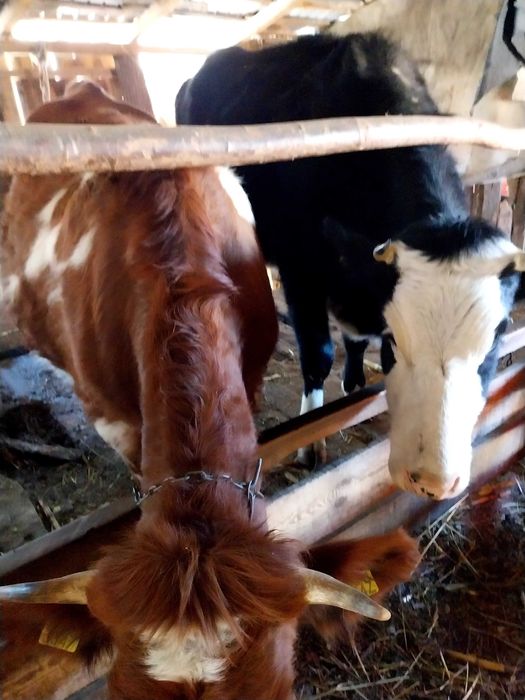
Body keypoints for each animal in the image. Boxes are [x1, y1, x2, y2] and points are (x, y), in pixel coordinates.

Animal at [175, 32, 525, 500]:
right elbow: (318, 354)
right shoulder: (302, 269)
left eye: (496, 339)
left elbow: (355, 341)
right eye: (395, 341)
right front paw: (311, 441)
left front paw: (354, 384)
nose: (432, 482)